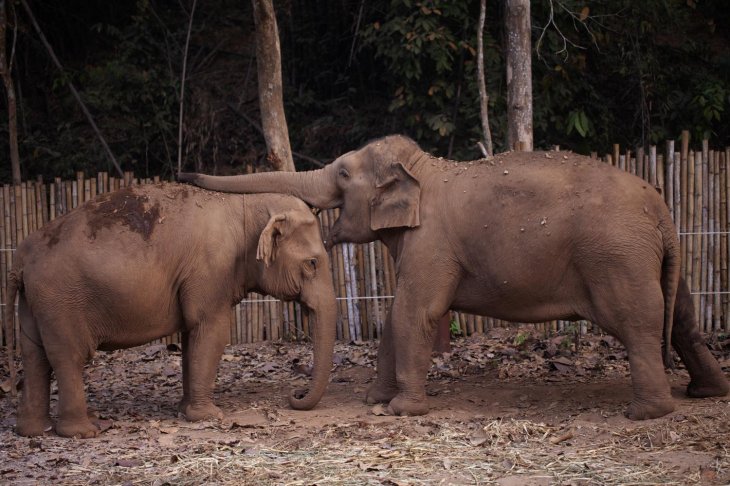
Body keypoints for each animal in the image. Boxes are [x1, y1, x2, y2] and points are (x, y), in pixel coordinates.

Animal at [3, 182, 336, 438]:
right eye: (312, 263)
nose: (295, 395)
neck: (245, 205)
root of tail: (20, 257)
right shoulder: (211, 270)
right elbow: (211, 331)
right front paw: (209, 416)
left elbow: (192, 337)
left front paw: (184, 409)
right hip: (60, 301)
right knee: (68, 356)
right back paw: (84, 432)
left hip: (35, 303)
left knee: (35, 356)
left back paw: (34, 431)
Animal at [179, 135, 729, 419]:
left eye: (342, 174)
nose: (183, 172)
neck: (423, 169)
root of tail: (662, 209)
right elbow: (397, 315)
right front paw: (375, 400)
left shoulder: (431, 243)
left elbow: (414, 310)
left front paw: (402, 411)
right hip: (651, 258)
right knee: (682, 318)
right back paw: (707, 394)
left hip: (617, 258)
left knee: (638, 323)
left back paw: (646, 413)